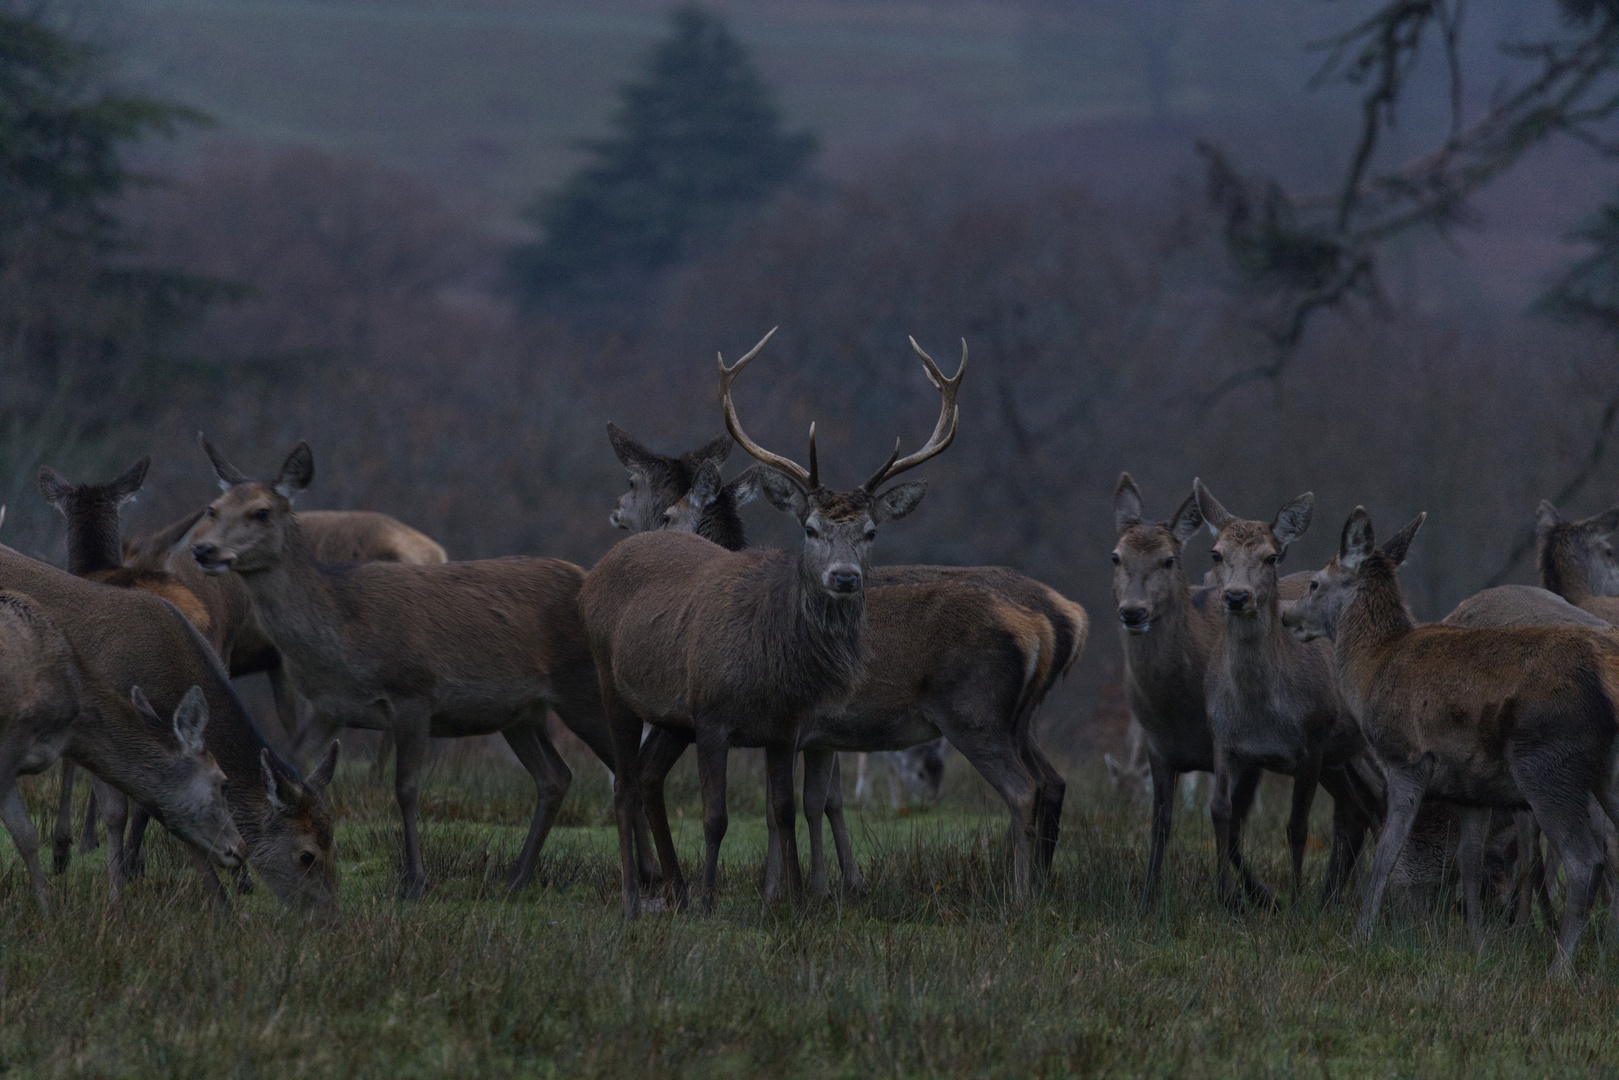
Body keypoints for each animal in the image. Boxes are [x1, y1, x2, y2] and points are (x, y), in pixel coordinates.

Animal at [185, 433, 618, 900]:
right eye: (213, 508)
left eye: (261, 511)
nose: (204, 550)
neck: (343, 632)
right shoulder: (328, 708)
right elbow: (294, 767)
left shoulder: (413, 692)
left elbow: (406, 787)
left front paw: (415, 880)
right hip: (521, 714)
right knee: (555, 777)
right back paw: (515, 878)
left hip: (584, 687)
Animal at [582, 330, 958, 913]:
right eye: (809, 527)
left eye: (872, 531)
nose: (846, 576)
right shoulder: (732, 723)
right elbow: (752, 809)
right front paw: (757, 893)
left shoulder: (792, 728)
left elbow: (789, 806)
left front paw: (793, 894)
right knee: (631, 779)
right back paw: (648, 892)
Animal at [1191, 482, 1379, 906]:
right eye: (1216, 553)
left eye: (1271, 556)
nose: (1237, 596)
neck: (1260, 713)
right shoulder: (1224, 741)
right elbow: (1221, 812)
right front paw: (1227, 897)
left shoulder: (1311, 742)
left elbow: (1297, 825)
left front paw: (1293, 899)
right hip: (1337, 760)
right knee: (1356, 810)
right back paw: (1331, 897)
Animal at [1295, 508, 1619, 977]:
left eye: (1315, 582)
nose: (1287, 615)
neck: (1371, 669)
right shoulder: (1470, 787)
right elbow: (1468, 860)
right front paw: (1477, 943)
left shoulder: (1407, 759)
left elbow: (1387, 850)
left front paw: (1360, 936)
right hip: (1606, 772)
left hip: (1547, 765)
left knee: (1585, 859)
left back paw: (1560, 968)